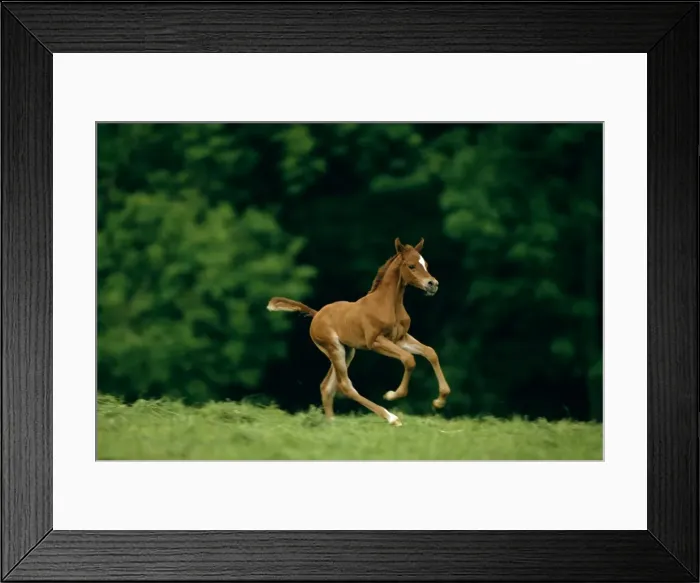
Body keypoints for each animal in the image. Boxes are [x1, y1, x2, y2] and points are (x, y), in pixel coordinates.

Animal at [267, 237, 451, 426]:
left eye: (425, 264)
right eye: (412, 265)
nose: (433, 284)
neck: (388, 304)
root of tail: (317, 314)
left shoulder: (400, 338)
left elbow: (430, 352)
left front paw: (439, 400)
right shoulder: (375, 341)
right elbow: (409, 359)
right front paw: (393, 395)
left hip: (347, 351)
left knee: (327, 386)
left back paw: (332, 424)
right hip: (334, 348)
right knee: (345, 386)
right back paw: (391, 417)